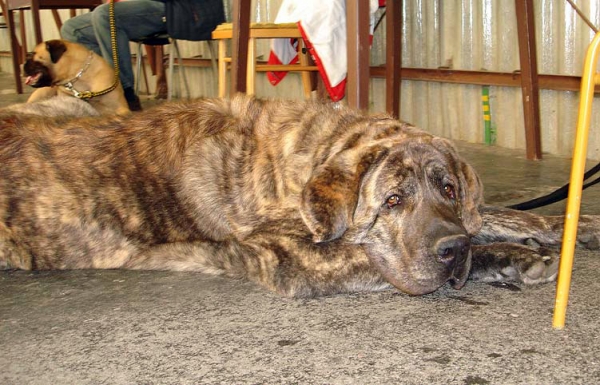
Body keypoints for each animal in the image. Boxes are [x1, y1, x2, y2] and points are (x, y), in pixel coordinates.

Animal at [2, 94, 596, 296]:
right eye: (392, 201)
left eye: (448, 189)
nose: (452, 250)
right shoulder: (296, 258)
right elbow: (373, 256)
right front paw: (511, 257)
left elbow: (497, 213)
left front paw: (571, 227)